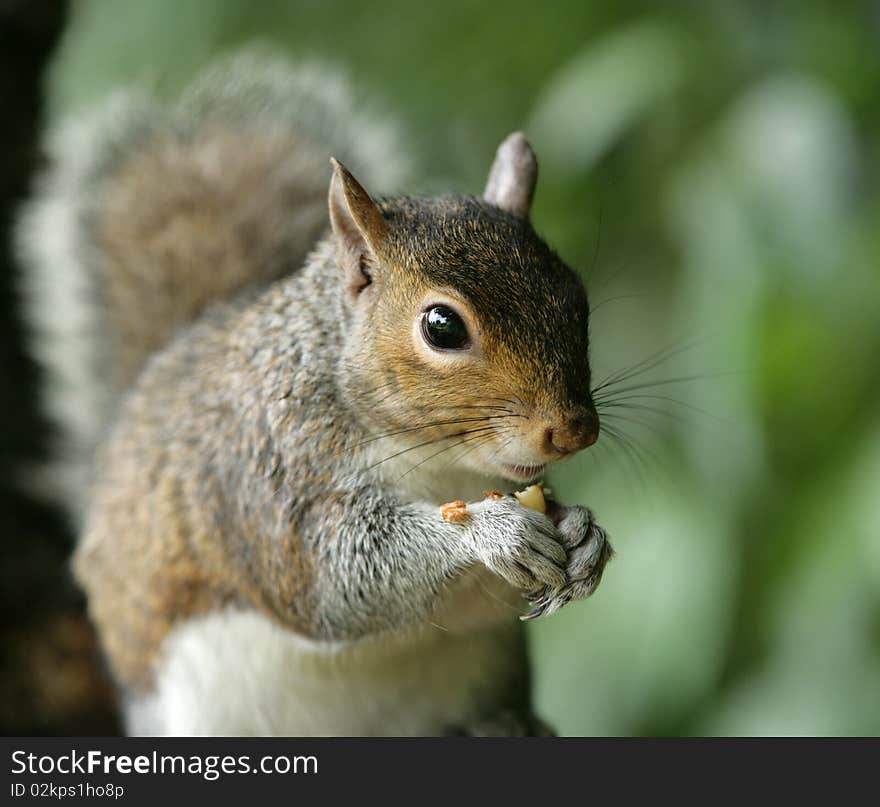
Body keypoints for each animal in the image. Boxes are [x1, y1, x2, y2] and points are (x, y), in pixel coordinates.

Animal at [18, 52, 612, 740]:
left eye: (576, 298)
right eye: (442, 326)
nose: (574, 430)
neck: (436, 463)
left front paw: (584, 536)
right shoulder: (263, 476)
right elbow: (334, 576)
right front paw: (493, 535)